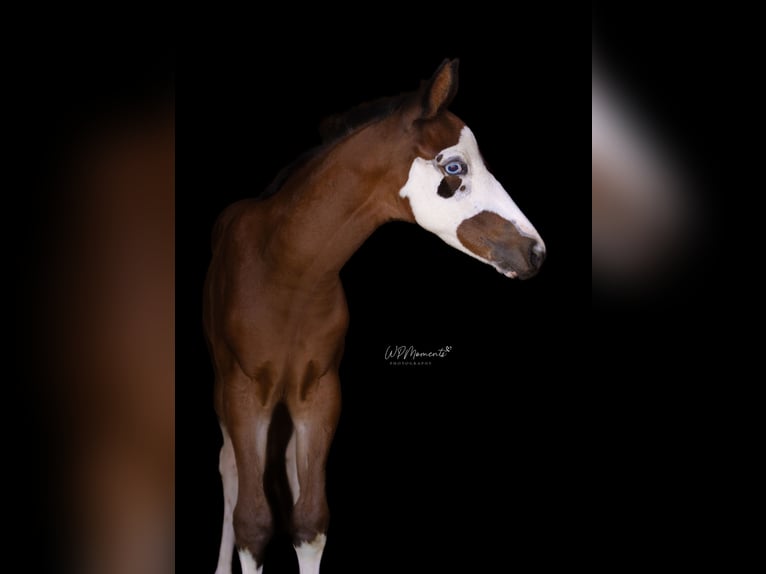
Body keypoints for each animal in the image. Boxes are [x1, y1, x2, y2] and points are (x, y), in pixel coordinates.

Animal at [203, 59, 545, 574]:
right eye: (454, 167)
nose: (535, 252)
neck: (285, 272)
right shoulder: (245, 393)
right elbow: (253, 523)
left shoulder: (320, 393)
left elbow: (309, 520)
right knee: (228, 469)